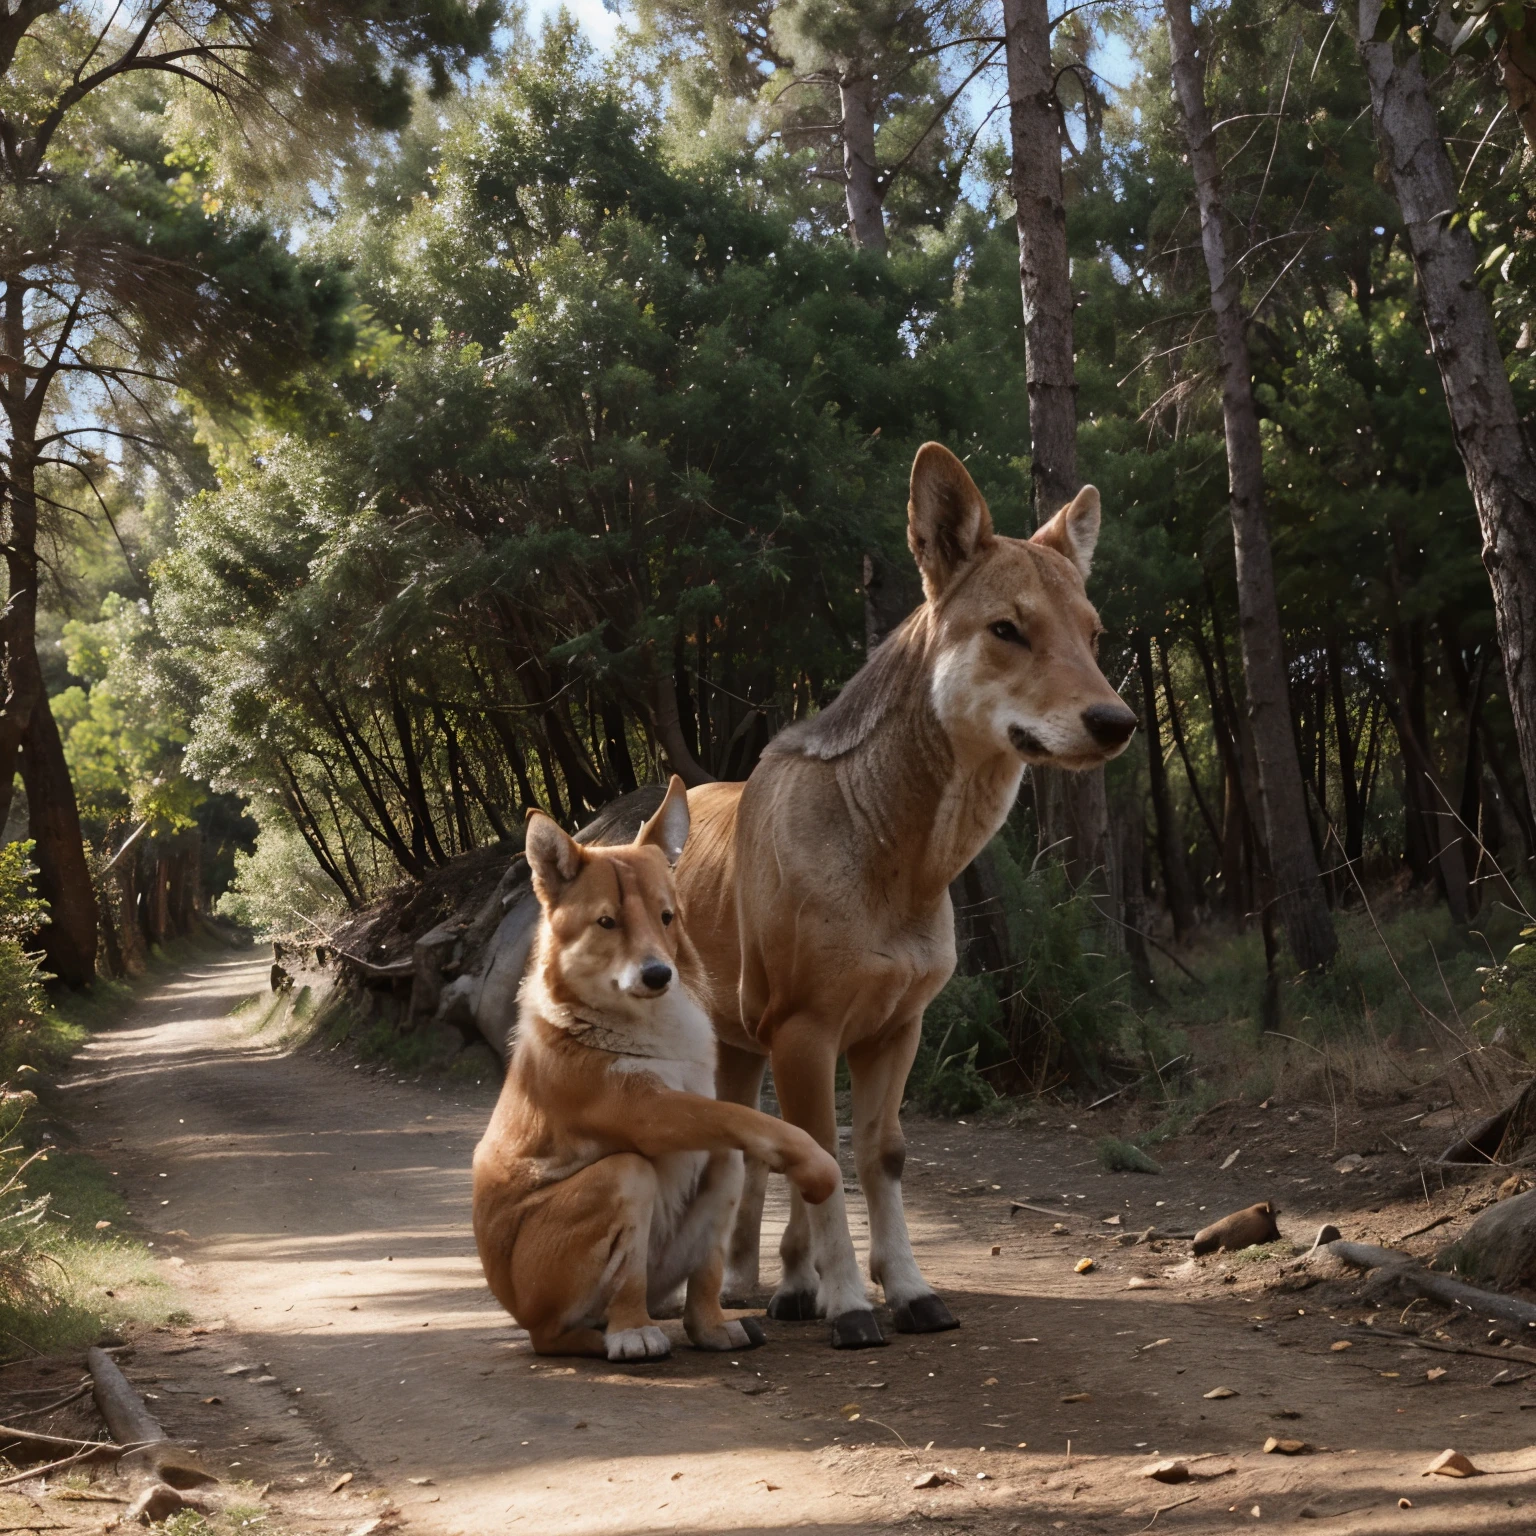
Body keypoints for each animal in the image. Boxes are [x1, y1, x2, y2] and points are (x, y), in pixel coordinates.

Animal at [476, 780, 841, 1357]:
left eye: (666, 916)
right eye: (608, 922)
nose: (657, 974)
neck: (650, 1029)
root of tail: (514, 1306)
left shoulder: (701, 1107)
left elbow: (742, 1129)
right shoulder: (647, 1110)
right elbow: (756, 1121)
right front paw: (815, 1164)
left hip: (707, 1191)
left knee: (704, 1240)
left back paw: (704, 1326)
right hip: (613, 1192)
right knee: (587, 1309)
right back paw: (628, 1334)